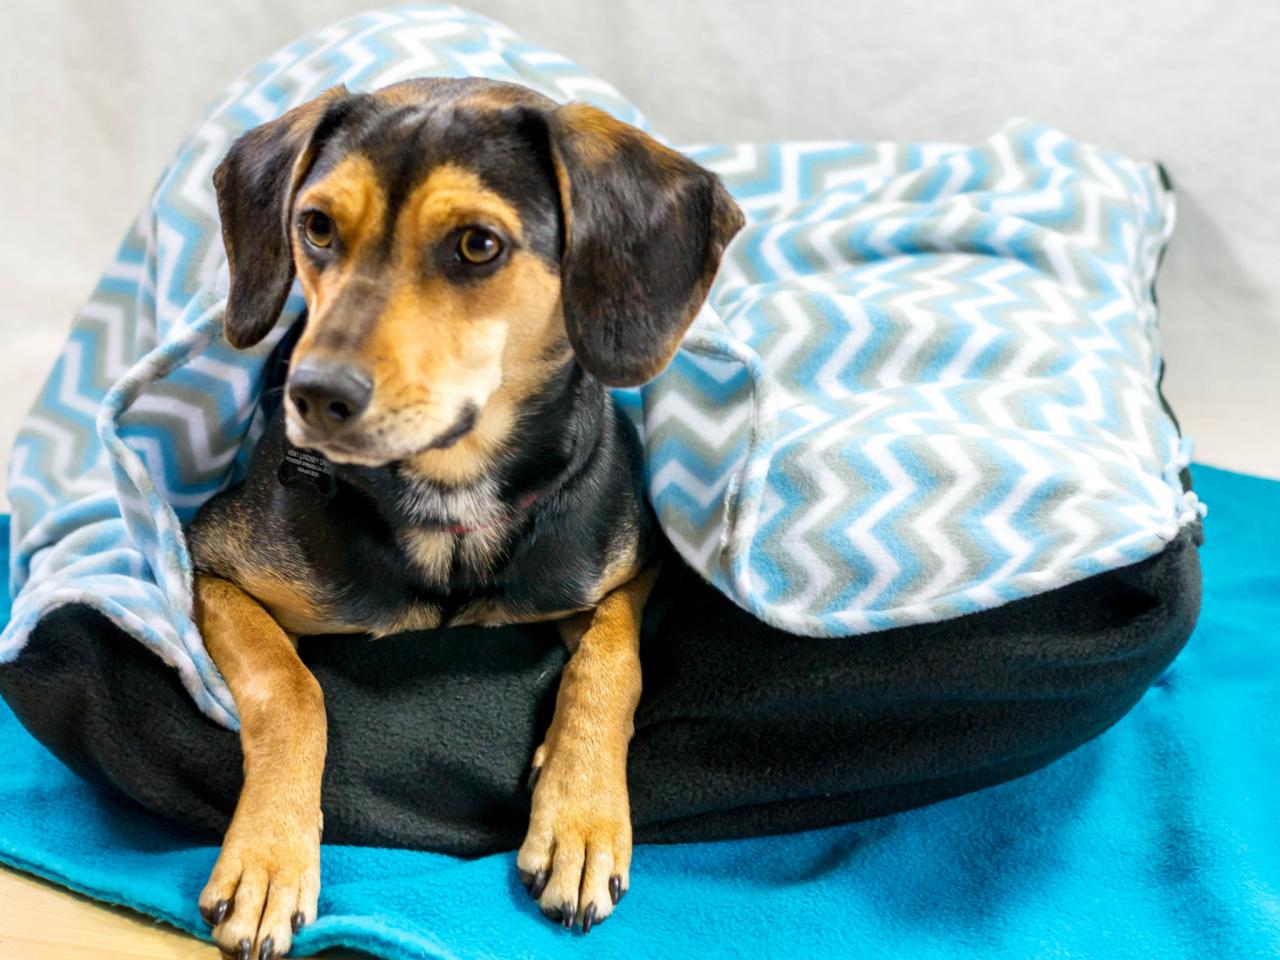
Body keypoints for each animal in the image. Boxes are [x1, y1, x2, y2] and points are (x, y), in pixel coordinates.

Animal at [180, 77, 742, 960]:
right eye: (316, 226)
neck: (451, 496)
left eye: (478, 245)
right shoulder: (209, 562)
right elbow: (291, 688)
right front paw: (268, 860)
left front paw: (582, 820)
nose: (313, 394)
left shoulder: (630, 567)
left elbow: (612, 665)